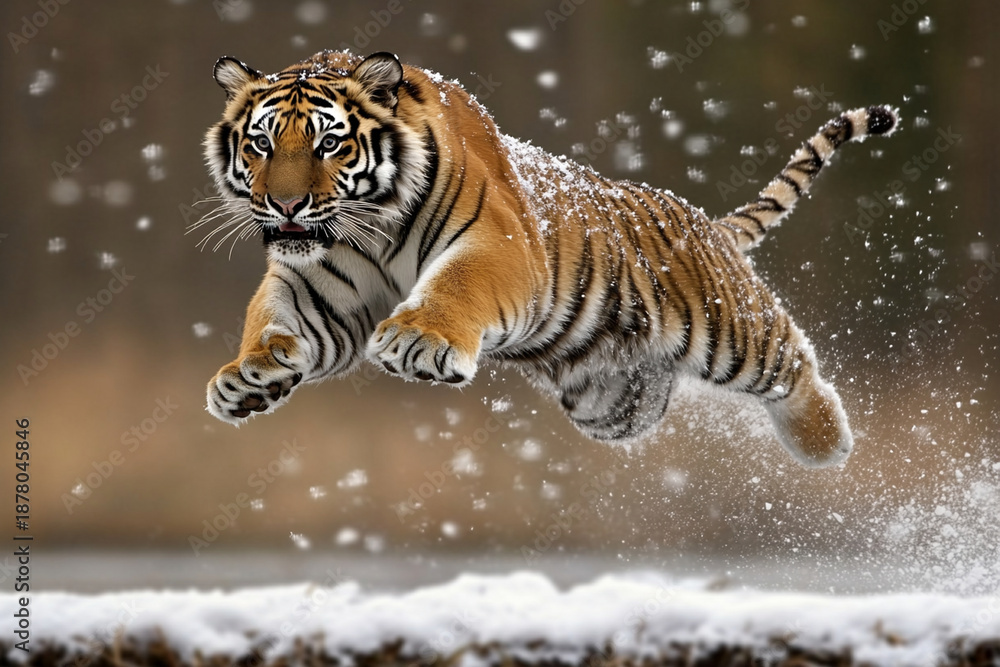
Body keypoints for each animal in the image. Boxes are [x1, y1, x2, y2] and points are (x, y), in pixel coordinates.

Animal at [197, 49, 898, 468]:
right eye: (260, 144)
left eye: (329, 144)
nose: (285, 204)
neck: (365, 227)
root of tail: (707, 222)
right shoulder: (316, 285)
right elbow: (274, 318)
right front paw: (247, 376)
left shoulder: (496, 244)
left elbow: (453, 287)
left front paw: (418, 342)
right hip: (611, 402)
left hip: (727, 328)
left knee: (792, 360)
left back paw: (828, 444)